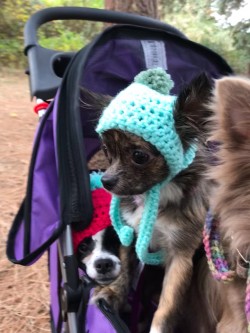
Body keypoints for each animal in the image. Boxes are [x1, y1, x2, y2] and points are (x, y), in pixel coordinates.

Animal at [82, 70, 213, 332]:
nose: (106, 181)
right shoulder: (131, 236)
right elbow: (124, 271)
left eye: (139, 156)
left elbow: (168, 303)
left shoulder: (180, 256)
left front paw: (157, 328)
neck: (155, 193)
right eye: (106, 150)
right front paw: (113, 294)